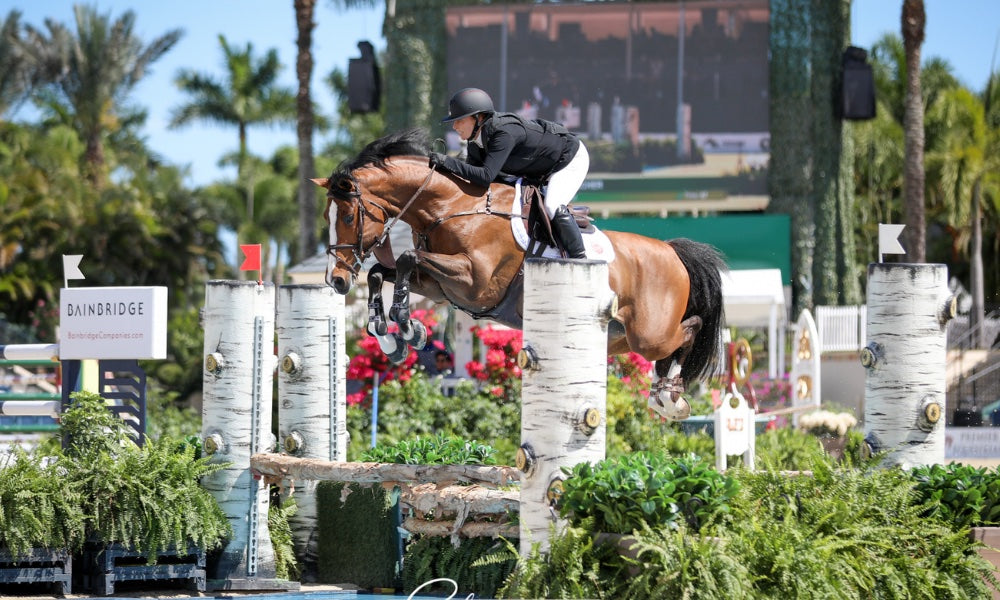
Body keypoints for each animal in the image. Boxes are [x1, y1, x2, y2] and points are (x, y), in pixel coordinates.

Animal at [312, 129, 728, 420]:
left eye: (347, 217)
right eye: (327, 217)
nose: (336, 280)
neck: (451, 206)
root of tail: (672, 250)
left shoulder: (474, 282)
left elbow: (406, 258)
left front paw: (405, 324)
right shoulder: (442, 286)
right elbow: (382, 271)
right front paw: (389, 337)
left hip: (649, 334)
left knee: (689, 329)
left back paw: (669, 396)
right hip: (619, 337)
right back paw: (664, 394)